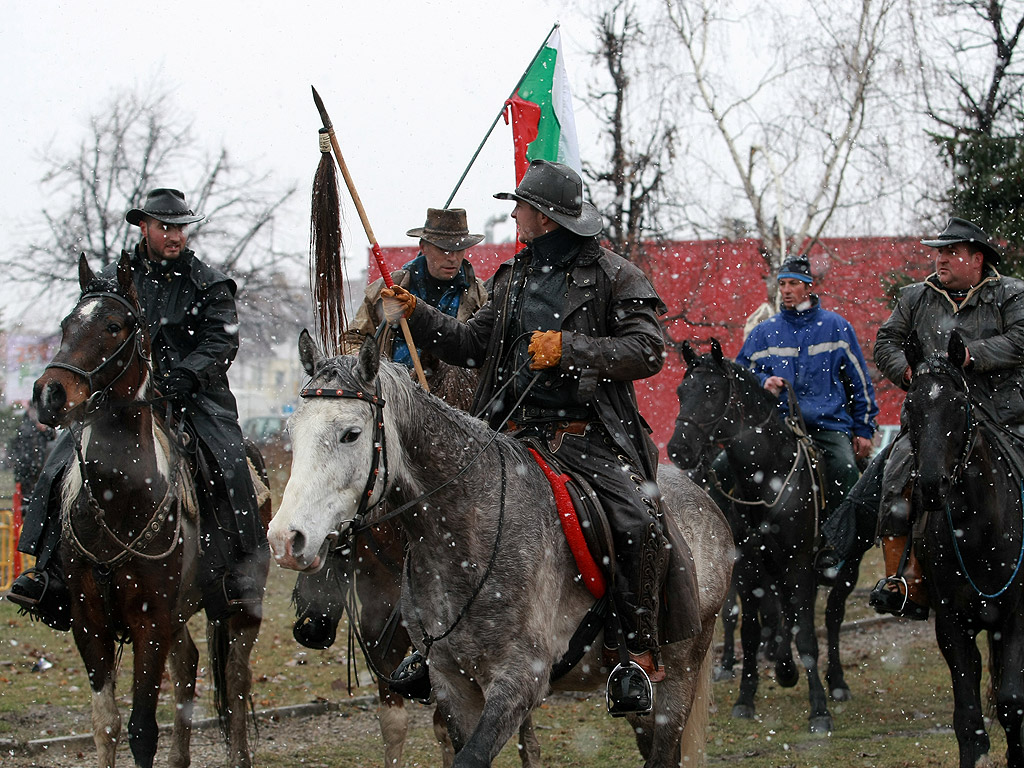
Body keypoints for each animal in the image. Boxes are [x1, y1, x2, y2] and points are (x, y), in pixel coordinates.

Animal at [33, 252, 268, 768]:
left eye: (114, 325)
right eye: (65, 325)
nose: (49, 394)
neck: (118, 502)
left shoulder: (151, 622)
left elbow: (142, 731)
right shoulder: (90, 622)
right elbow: (106, 724)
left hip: (242, 609)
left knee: (236, 681)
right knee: (189, 666)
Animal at [268, 335, 733, 768]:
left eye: (351, 434)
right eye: (292, 432)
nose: (285, 539)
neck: (463, 534)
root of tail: (705, 500)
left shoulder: (518, 683)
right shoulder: (452, 682)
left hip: (679, 672)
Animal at [667, 342, 851, 733]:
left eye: (711, 391)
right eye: (680, 392)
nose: (678, 449)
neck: (769, 480)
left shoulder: (799, 565)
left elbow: (807, 636)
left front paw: (819, 710)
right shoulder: (748, 566)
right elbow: (750, 628)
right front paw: (746, 697)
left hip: (841, 568)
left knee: (831, 617)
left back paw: (837, 682)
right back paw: (784, 668)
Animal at [905, 331, 1024, 768]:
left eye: (959, 404)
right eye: (910, 405)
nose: (930, 485)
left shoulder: (1017, 618)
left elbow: (1011, 702)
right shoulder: (952, 623)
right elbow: (968, 715)